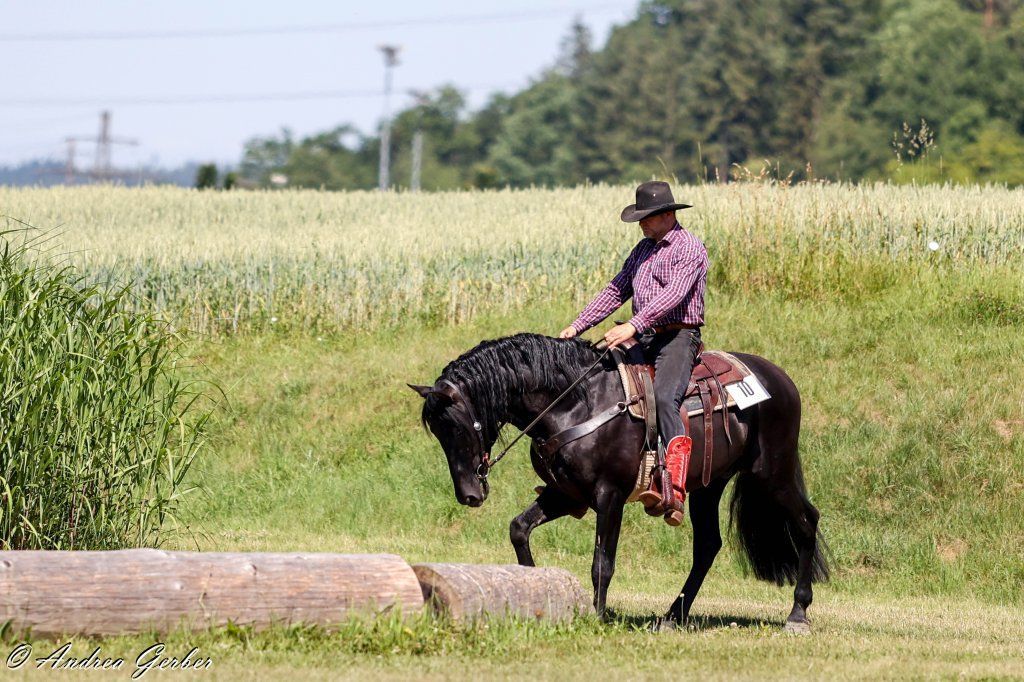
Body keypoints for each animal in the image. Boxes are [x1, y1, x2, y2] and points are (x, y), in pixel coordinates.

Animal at [408, 332, 828, 631]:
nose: (469, 494)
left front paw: (597, 616)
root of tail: (780, 379)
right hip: (709, 487)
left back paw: (797, 613)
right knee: (708, 545)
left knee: (807, 522)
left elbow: (602, 563)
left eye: (460, 427)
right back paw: (672, 617)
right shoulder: (565, 494)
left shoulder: (609, 495)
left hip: (771, 473)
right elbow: (519, 529)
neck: (575, 402)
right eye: (439, 433)